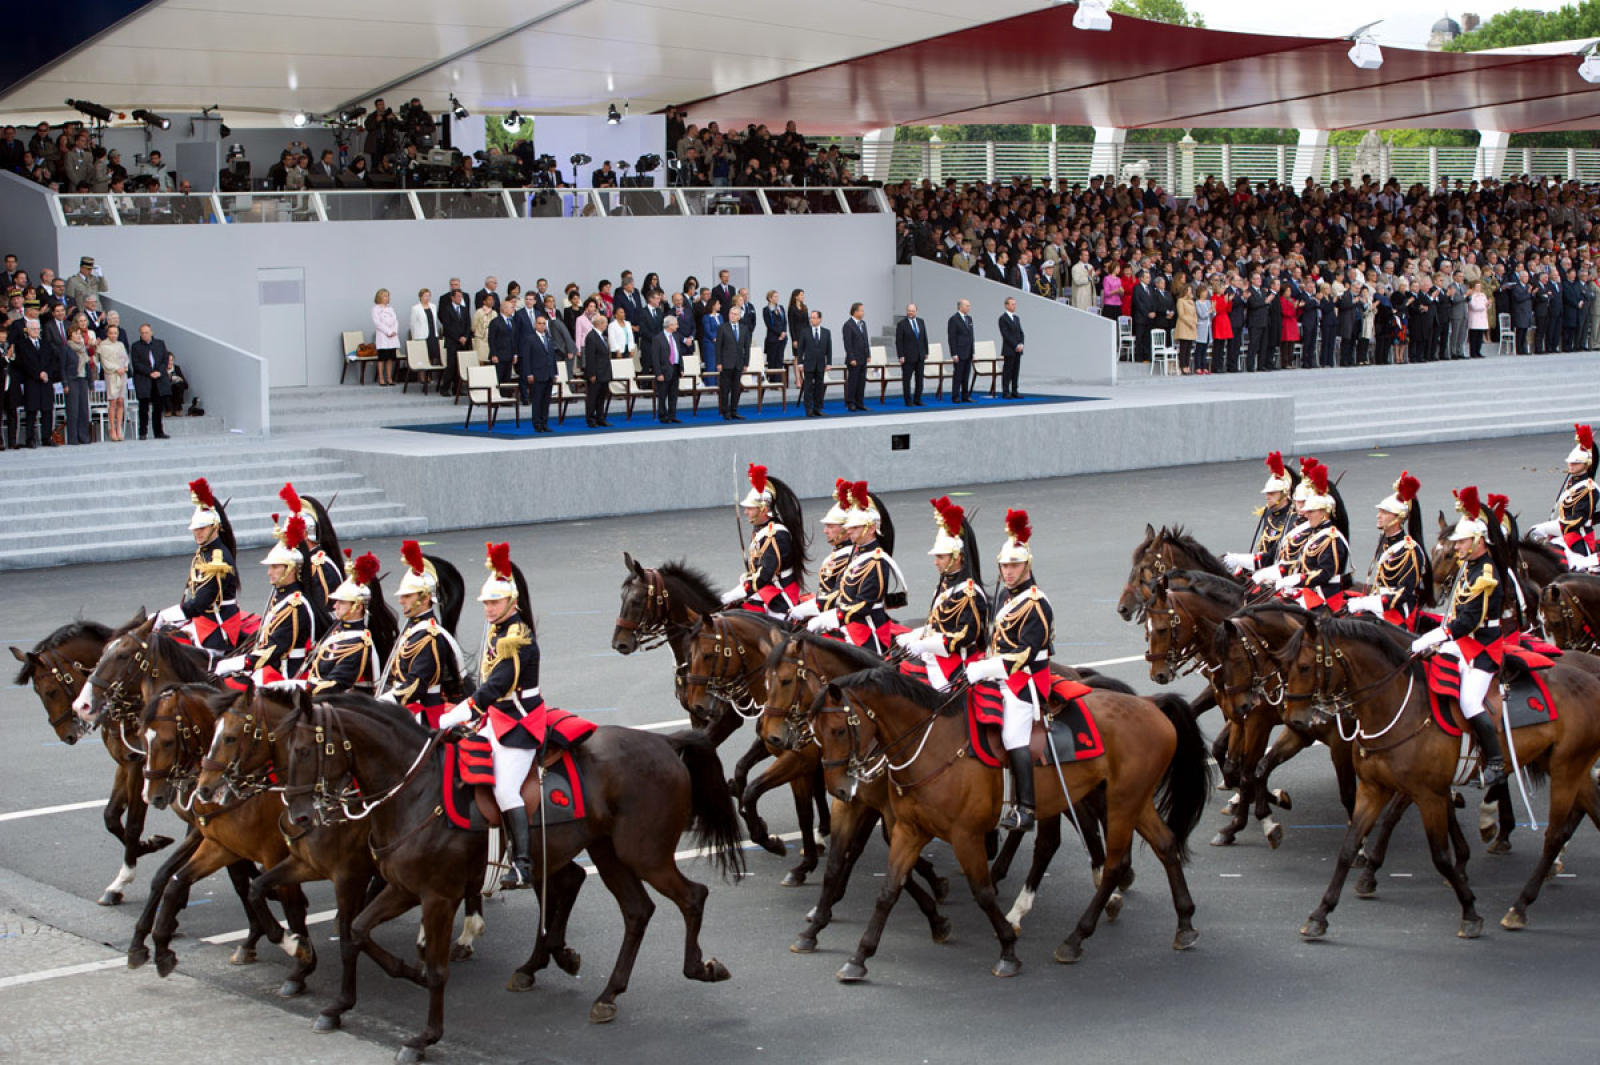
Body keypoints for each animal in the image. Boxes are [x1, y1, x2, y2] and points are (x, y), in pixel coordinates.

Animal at [11, 614, 175, 901]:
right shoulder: (125, 764)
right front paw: (147, 846)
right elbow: (111, 817)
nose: (66, 735)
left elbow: (133, 823)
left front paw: (124, 877)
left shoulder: (140, 767)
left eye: (50, 691)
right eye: (39, 693)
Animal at [280, 687, 736, 1055]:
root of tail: (663, 741)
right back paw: (607, 993)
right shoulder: (403, 888)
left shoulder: (438, 897)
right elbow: (357, 932)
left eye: (303, 751)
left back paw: (700, 968)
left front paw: (424, 1037)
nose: (298, 817)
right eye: (285, 748)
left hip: (646, 854)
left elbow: (438, 969)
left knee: (692, 896)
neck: (415, 790)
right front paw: (349, 1001)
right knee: (637, 910)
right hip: (609, 854)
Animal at [806, 630, 1203, 978]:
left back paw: (1074, 937)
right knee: (1164, 845)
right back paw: (1184, 923)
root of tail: (1150, 704)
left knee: (1112, 863)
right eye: (817, 730)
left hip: (1121, 801)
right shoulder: (908, 829)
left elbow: (981, 893)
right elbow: (888, 889)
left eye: (839, 730)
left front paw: (1007, 949)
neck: (929, 741)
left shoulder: (963, 835)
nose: (838, 788)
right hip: (1132, 799)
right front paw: (858, 955)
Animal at [1280, 610, 1600, 933]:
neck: (1399, 706)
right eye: (1286, 666)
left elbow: (1438, 853)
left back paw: (1520, 904)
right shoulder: (1374, 788)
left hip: (1566, 770)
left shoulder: (1427, 794)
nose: (1295, 721)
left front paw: (1469, 910)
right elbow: (1348, 847)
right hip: (1569, 767)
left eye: (1304, 666)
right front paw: (1321, 914)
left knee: (1554, 835)